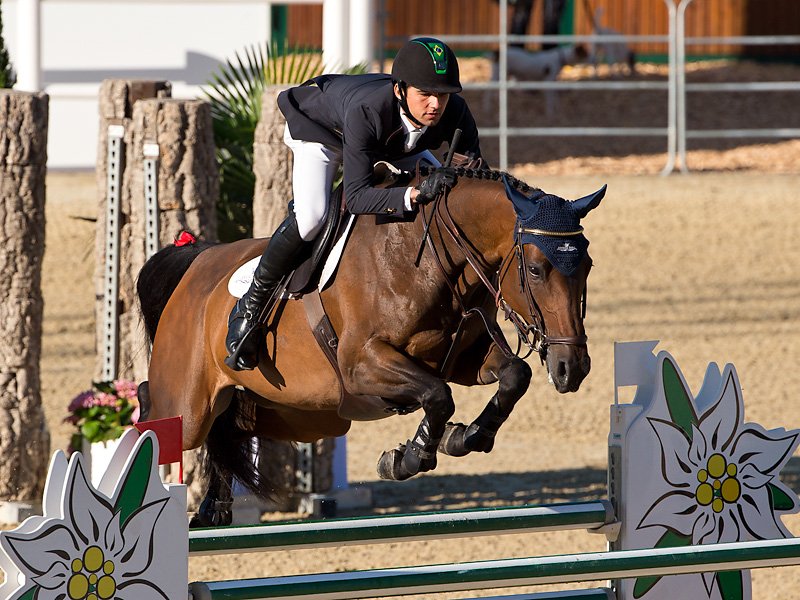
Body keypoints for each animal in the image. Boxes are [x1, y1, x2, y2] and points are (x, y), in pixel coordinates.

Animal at [138, 165, 604, 524]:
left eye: (587, 266)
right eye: (537, 269)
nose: (572, 367)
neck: (429, 259)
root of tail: (197, 260)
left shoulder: (465, 357)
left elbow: (513, 376)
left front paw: (466, 436)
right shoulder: (361, 365)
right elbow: (438, 395)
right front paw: (408, 458)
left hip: (290, 413)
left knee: (227, 428)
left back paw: (214, 508)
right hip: (188, 407)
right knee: (152, 409)